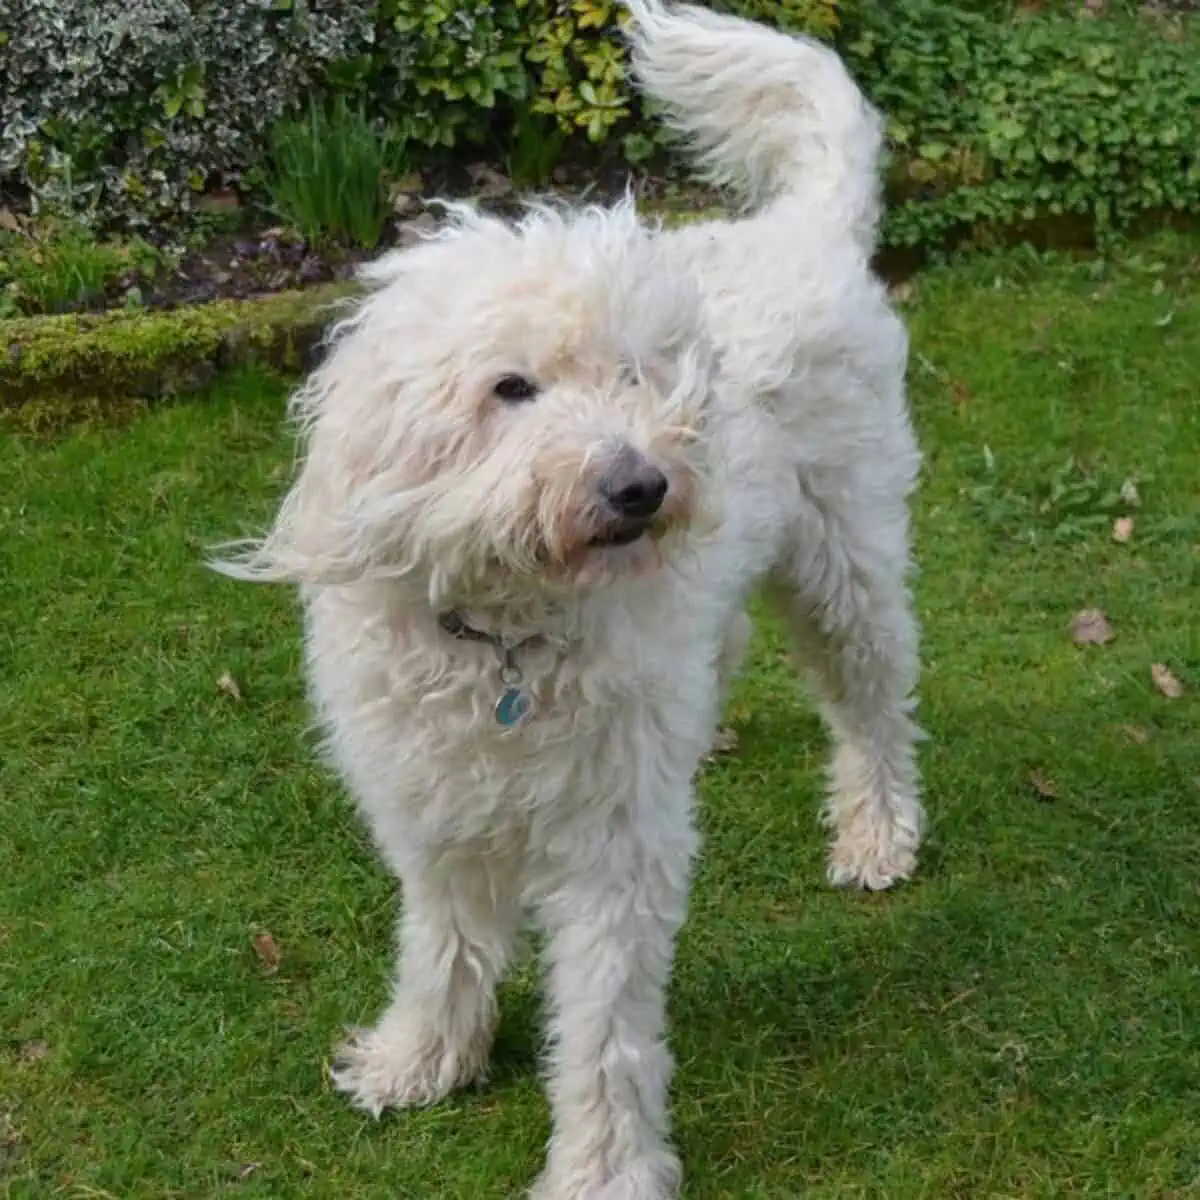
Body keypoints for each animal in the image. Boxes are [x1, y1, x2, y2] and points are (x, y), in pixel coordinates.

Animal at [216, 4, 921, 1195]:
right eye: (511, 387)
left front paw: (603, 1167)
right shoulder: (431, 813)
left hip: (847, 565)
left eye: (637, 376)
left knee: (874, 707)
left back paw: (878, 831)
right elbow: (442, 942)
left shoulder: (612, 849)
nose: (642, 486)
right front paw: (423, 1056)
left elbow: (604, 1029)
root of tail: (801, 230)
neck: (504, 640)